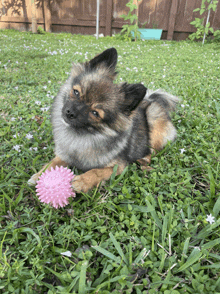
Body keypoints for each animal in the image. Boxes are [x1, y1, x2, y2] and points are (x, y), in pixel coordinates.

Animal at [27, 47, 179, 192]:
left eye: (95, 113)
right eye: (76, 92)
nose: (70, 112)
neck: (82, 134)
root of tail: (150, 100)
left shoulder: (118, 166)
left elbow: (96, 171)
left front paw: (82, 181)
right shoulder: (64, 155)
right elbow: (52, 163)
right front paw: (40, 175)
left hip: (153, 116)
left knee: (153, 151)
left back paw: (144, 160)